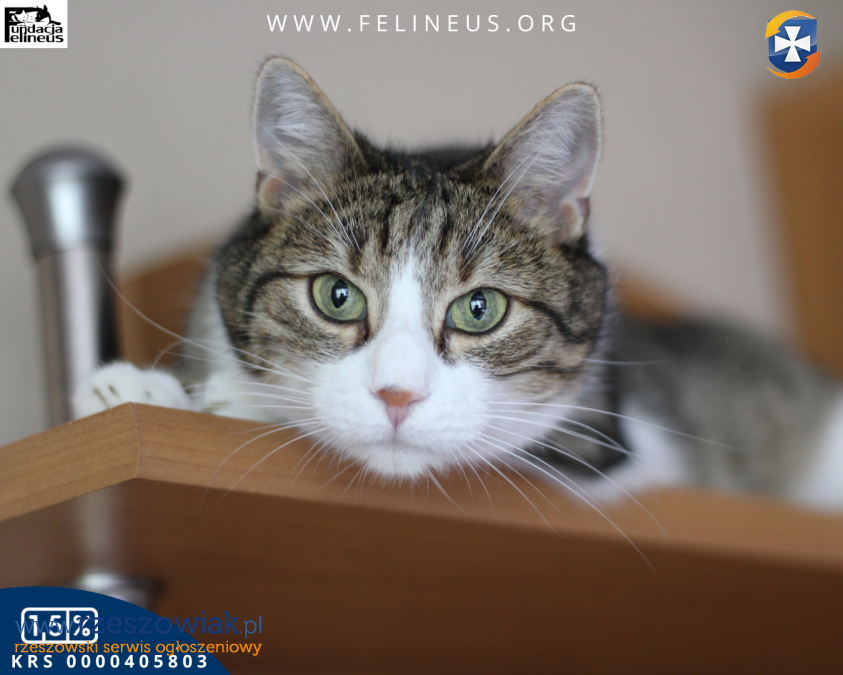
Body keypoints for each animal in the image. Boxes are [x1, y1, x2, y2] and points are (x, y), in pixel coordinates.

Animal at [72, 57, 843, 511]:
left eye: (480, 308)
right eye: (336, 295)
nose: (396, 396)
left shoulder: (612, 440)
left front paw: (225, 401)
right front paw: (142, 389)